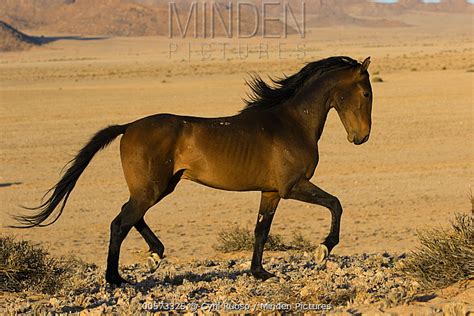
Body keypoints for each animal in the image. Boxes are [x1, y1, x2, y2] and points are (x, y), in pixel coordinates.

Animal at [12, 55, 372, 286]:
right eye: (366, 92)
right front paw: (322, 249)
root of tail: (128, 127)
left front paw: (259, 272)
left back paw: (155, 255)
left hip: (159, 186)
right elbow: (336, 203)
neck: (292, 123)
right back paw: (116, 278)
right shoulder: (293, 186)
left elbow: (261, 230)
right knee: (120, 221)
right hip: (153, 188)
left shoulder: (271, 192)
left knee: (130, 215)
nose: (361, 137)